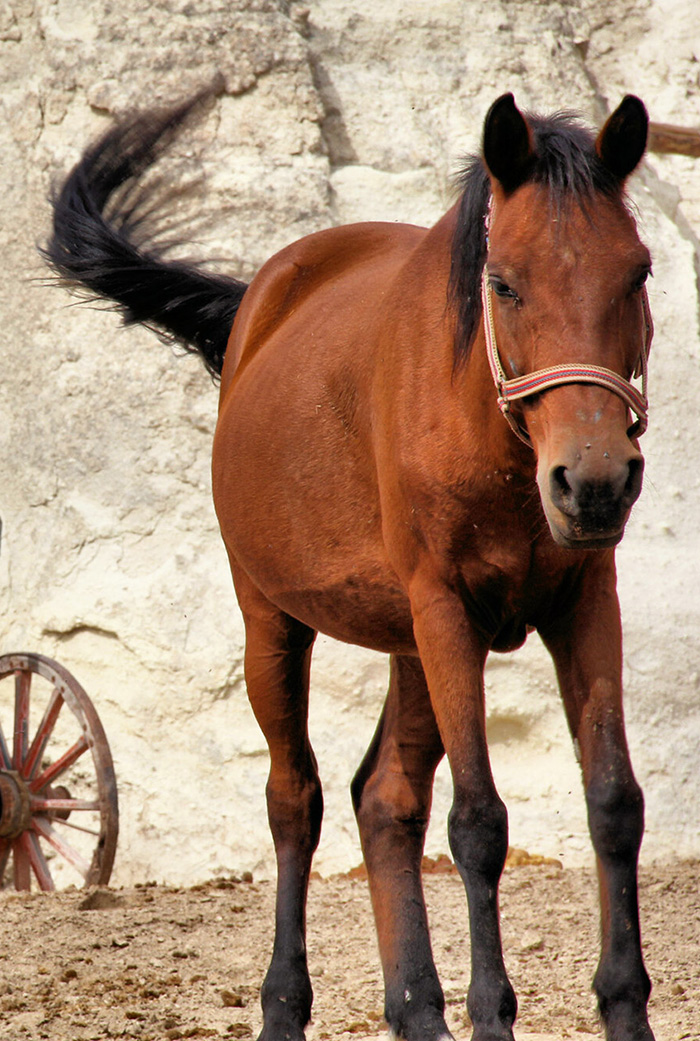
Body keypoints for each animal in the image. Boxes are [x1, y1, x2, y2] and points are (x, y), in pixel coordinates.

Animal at [46, 91, 658, 1041]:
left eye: (636, 274)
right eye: (503, 282)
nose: (593, 481)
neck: (491, 438)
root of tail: (261, 303)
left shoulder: (584, 604)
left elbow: (613, 803)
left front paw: (625, 1009)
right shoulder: (447, 611)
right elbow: (479, 822)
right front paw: (493, 1014)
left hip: (411, 644)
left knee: (386, 798)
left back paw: (417, 1008)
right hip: (277, 621)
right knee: (295, 799)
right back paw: (283, 1005)